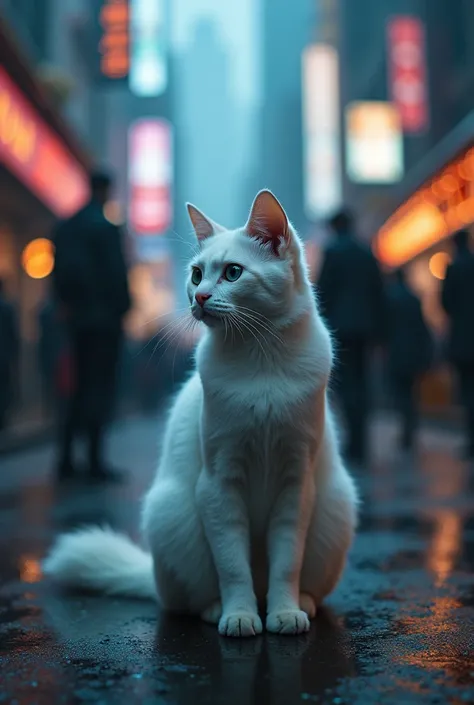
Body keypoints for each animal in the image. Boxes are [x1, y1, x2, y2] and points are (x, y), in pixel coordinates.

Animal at [44, 191, 358, 640]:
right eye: (196, 275)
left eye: (232, 273)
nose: (200, 298)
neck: (260, 359)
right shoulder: (218, 482)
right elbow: (232, 565)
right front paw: (240, 616)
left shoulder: (296, 483)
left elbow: (286, 563)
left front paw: (284, 613)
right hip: (171, 513)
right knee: (188, 599)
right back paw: (217, 609)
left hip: (335, 506)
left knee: (290, 581)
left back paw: (302, 603)